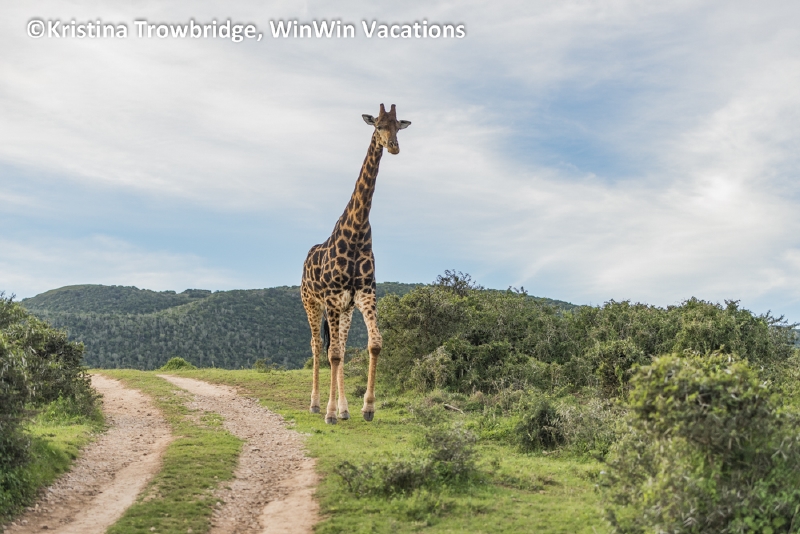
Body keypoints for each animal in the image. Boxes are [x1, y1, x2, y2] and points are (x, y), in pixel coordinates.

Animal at [301, 103, 411, 424]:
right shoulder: (331, 298)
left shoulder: (364, 295)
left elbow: (373, 344)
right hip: (312, 303)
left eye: (398, 126)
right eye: (378, 125)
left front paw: (366, 407)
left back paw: (344, 409)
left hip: (345, 310)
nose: (394, 147)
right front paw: (328, 413)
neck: (358, 231)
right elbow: (333, 354)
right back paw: (316, 405)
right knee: (318, 347)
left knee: (339, 345)